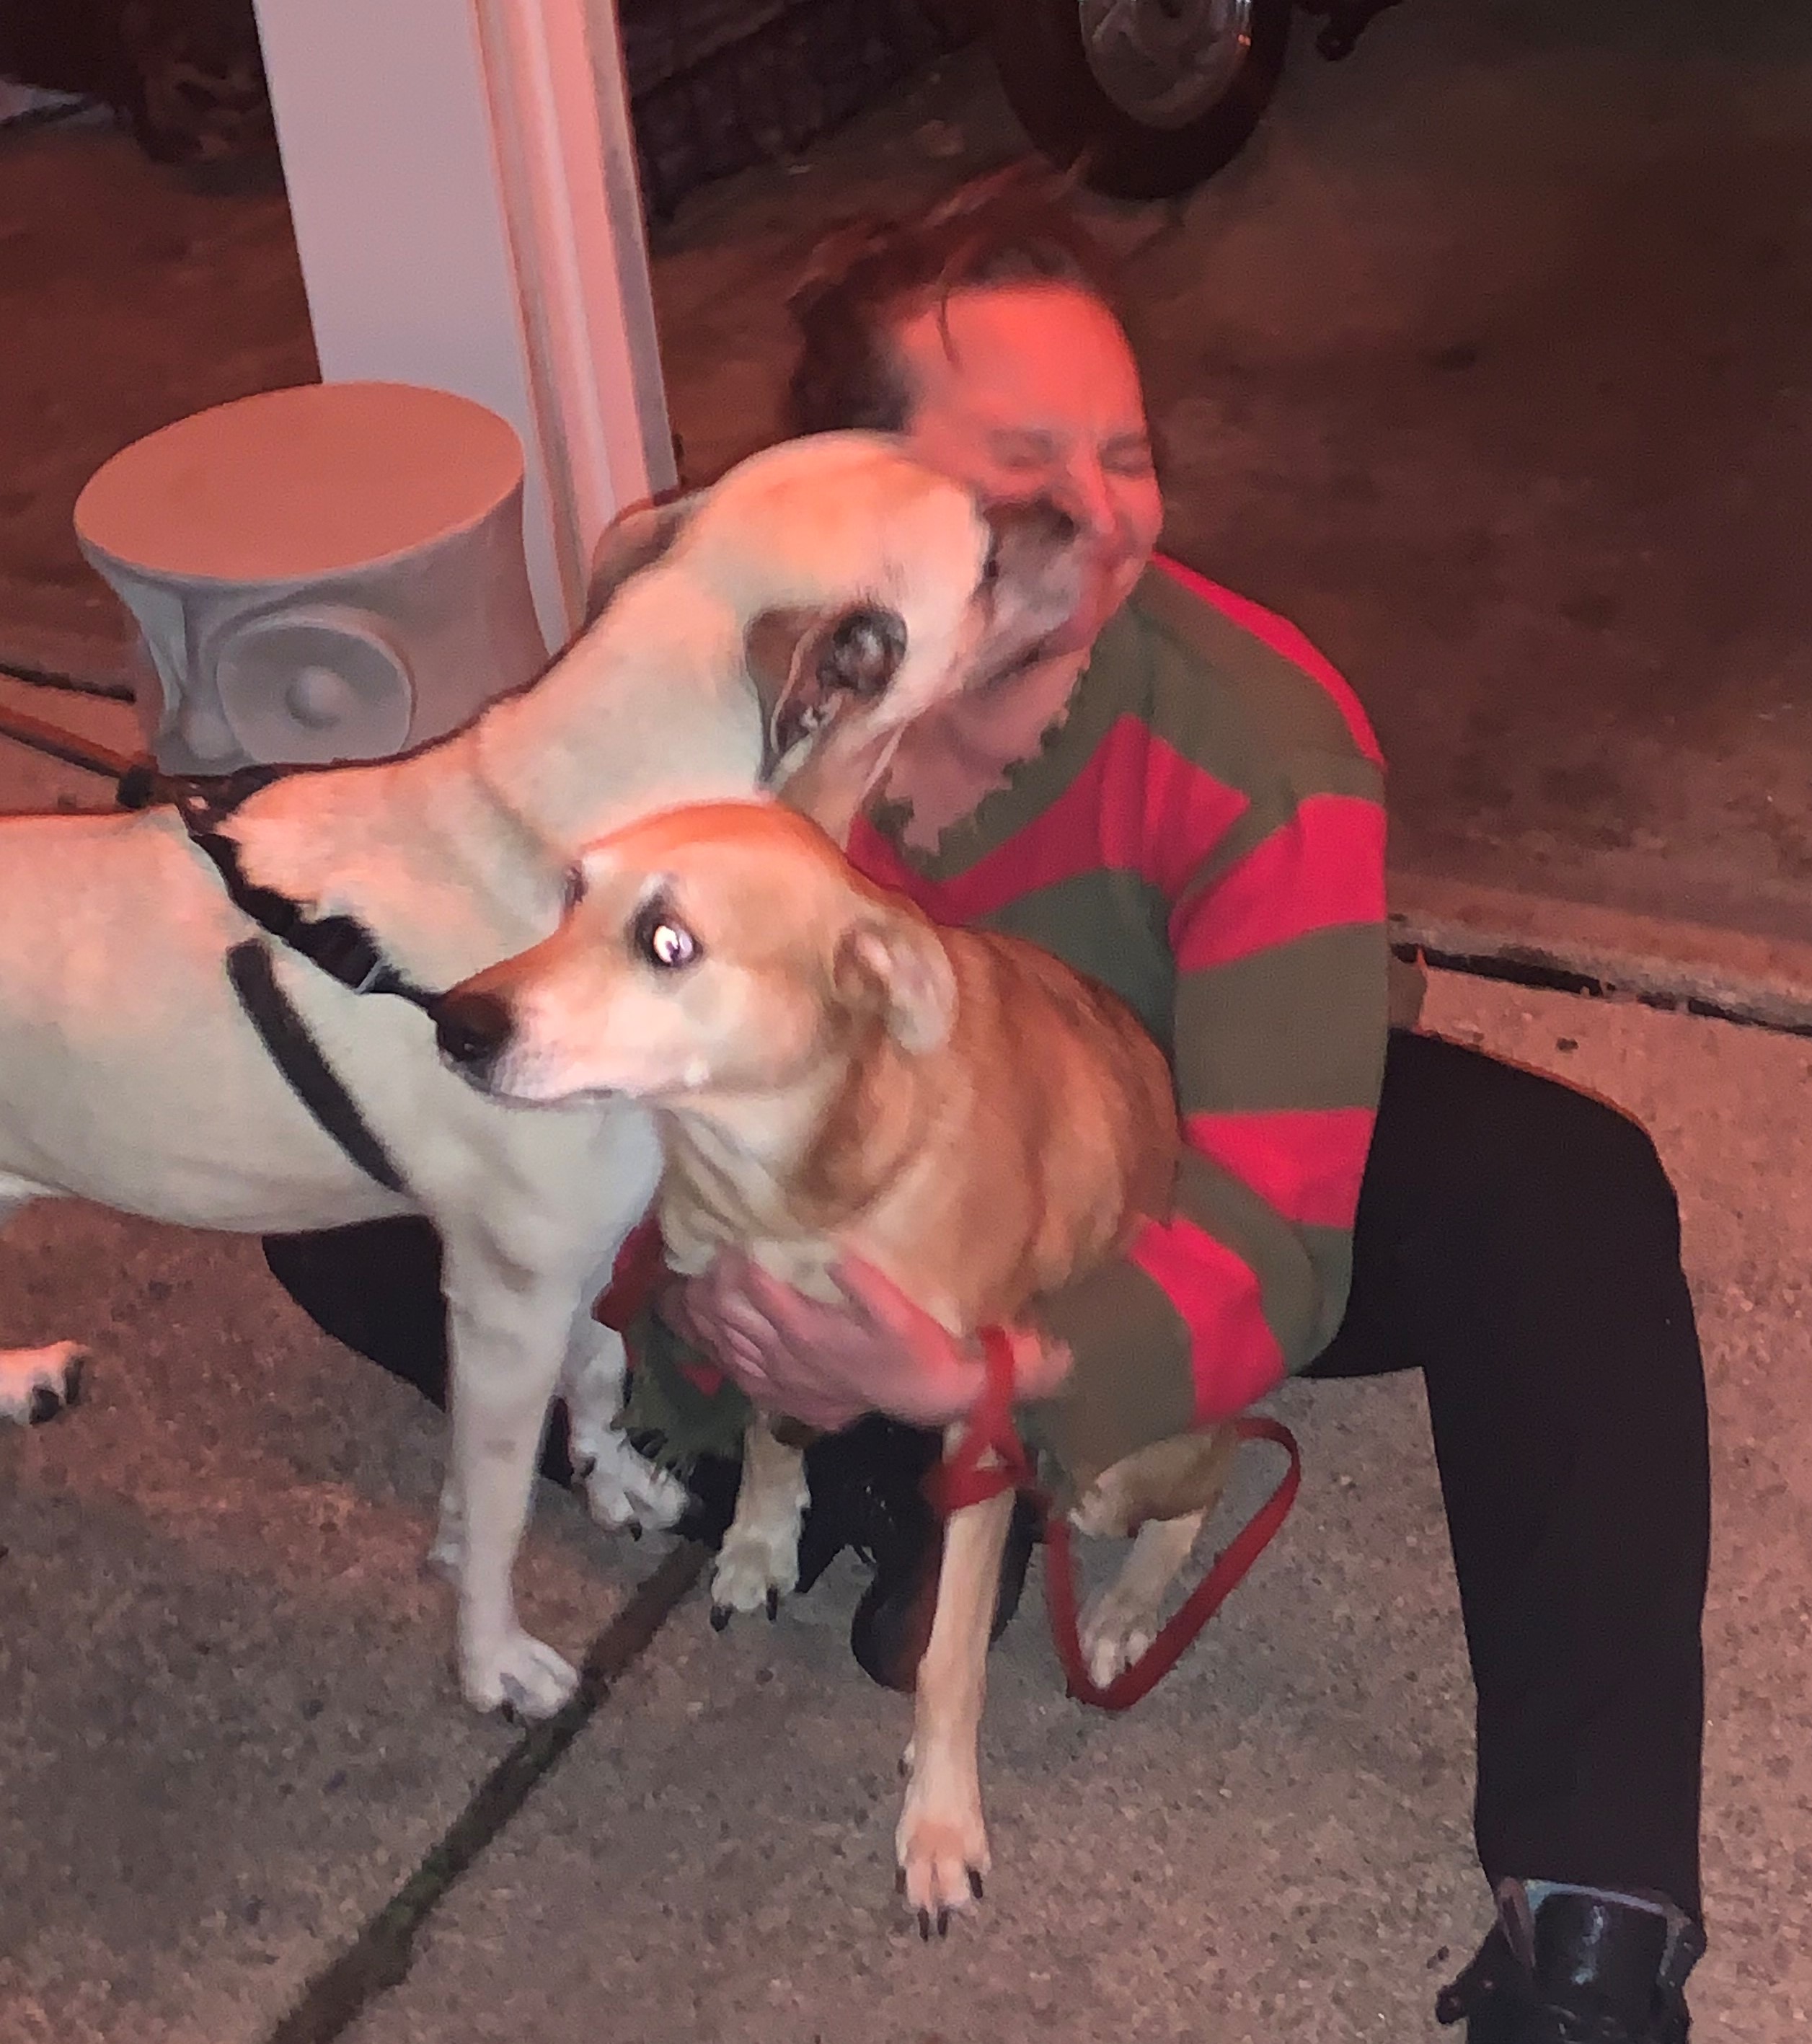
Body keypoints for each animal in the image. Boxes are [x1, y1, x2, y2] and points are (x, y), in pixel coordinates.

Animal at [0, 432, 1084, 1719]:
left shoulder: (576, 1260)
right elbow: (505, 1500)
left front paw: (611, 1481)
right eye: (986, 553)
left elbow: (600, 1374)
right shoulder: (503, 1295)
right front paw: (492, 1659)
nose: (1084, 509)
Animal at [432, 799, 1238, 1918]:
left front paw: (940, 1820)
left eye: (667, 942)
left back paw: (1125, 1608)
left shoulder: (977, 1420)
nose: (454, 1026)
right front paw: (761, 1542)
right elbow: (775, 1442)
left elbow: (949, 1662)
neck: (789, 1178)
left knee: (1200, 1490)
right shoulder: (754, 1323)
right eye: (570, 893)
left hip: (1124, 1463)